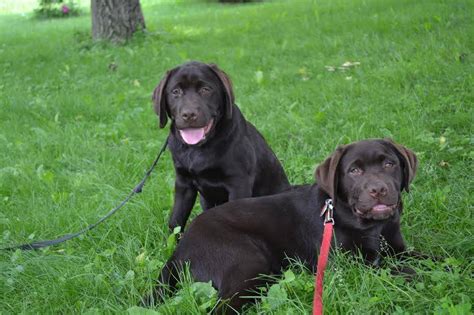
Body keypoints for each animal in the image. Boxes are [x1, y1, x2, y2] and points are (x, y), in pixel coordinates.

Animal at [151, 139, 418, 312]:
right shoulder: (348, 265)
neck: (373, 227)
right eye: (354, 170)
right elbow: (395, 269)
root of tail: (180, 248)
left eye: (389, 164)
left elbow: (420, 257)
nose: (378, 190)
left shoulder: (398, 249)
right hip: (247, 262)